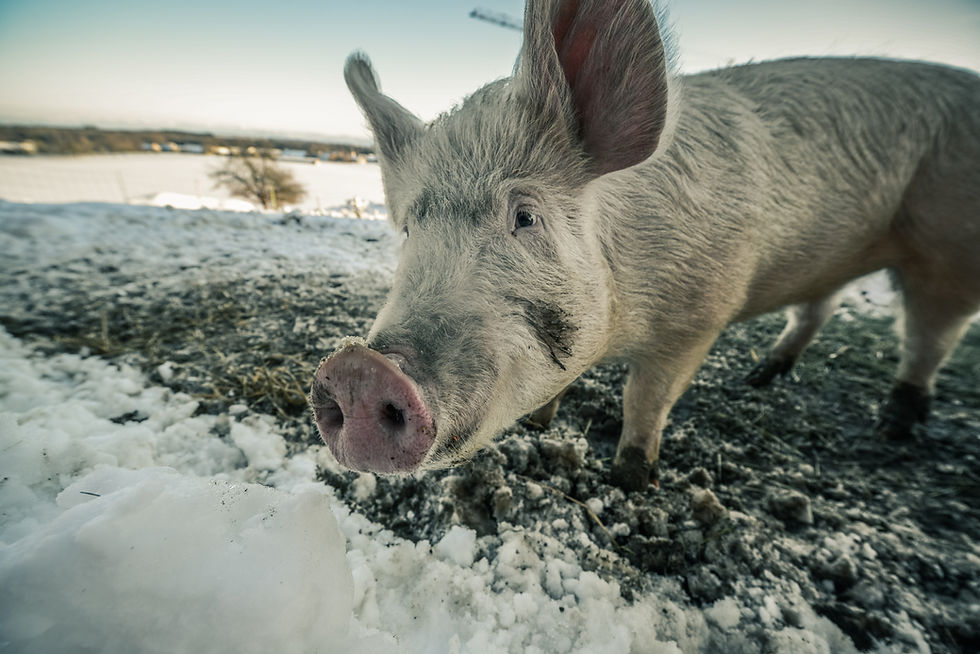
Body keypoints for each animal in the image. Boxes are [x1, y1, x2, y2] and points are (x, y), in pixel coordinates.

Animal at [310, 0, 980, 491]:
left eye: (525, 217)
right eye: (409, 229)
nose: (358, 369)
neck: (621, 326)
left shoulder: (700, 314)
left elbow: (646, 398)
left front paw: (631, 480)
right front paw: (545, 423)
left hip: (949, 246)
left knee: (929, 333)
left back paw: (893, 427)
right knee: (823, 304)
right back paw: (761, 377)